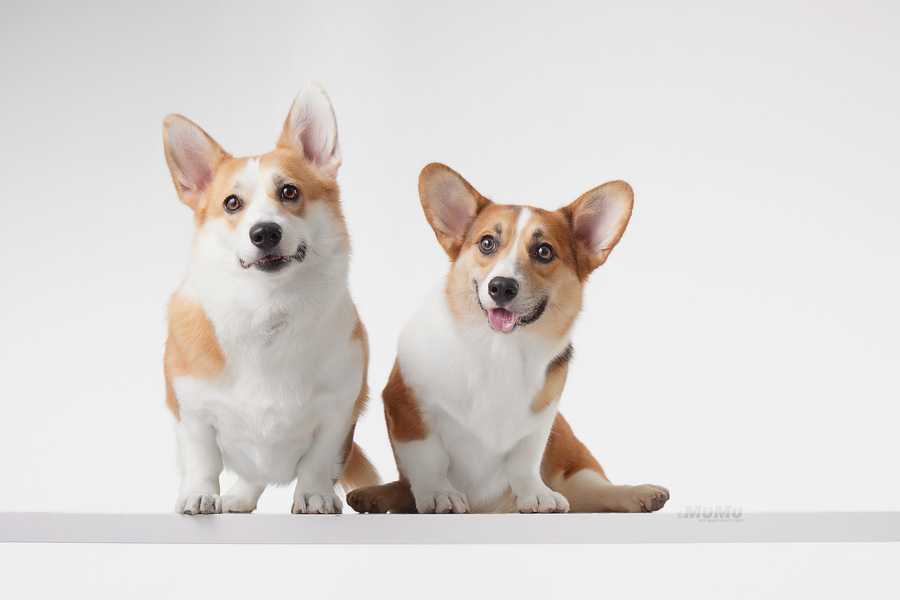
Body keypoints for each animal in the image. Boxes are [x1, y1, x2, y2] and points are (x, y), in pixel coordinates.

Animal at [162, 83, 378, 514]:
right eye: (232, 203)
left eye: (289, 191)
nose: (264, 232)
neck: (268, 308)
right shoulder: (191, 413)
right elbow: (202, 460)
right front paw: (199, 495)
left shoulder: (337, 414)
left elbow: (316, 463)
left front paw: (314, 497)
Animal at [347, 163, 669, 513]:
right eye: (487, 243)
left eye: (544, 251)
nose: (501, 286)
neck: (499, 351)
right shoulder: (407, 409)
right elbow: (429, 460)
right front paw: (439, 493)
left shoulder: (540, 425)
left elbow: (524, 462)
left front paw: (536, 495)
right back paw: (374, 496)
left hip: (571, 463)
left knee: (595, 489)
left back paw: (640, 494)